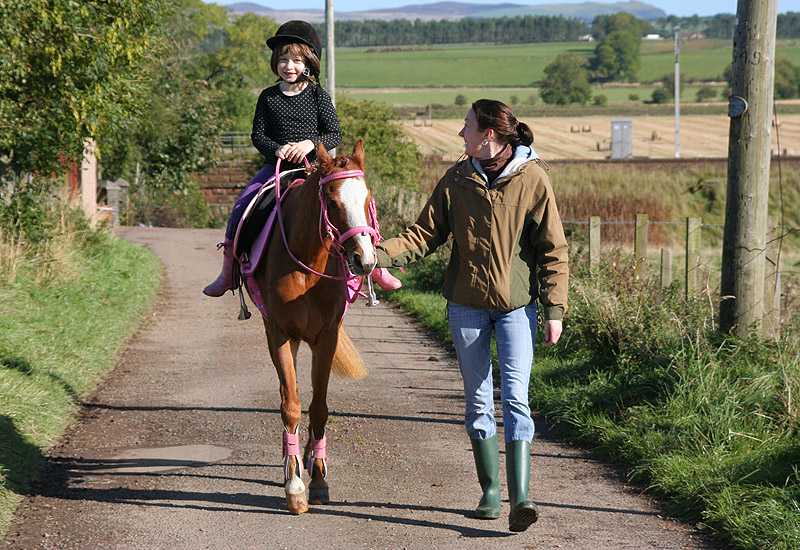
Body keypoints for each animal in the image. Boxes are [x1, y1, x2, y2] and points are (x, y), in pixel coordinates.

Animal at [253, 140, 376, 516]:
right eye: (333, 203)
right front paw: (294, 487)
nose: (365, 261)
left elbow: (319, 408)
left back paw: (309, 458)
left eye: (367, 199)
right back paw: (291, 460)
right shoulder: (280, 335)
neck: (308, 264)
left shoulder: (326, 338)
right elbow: (291, 405)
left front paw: (319, 479)